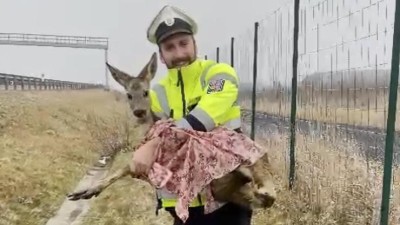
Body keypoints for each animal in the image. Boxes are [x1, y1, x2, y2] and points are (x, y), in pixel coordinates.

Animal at [67, 52, 276, 211]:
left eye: (145, 92)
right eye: (128, 95)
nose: (139, 112)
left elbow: (124, 167)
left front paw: (84, 192)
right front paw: (83, 192)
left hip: (252, 160)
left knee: (266, 187)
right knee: (254, 196)